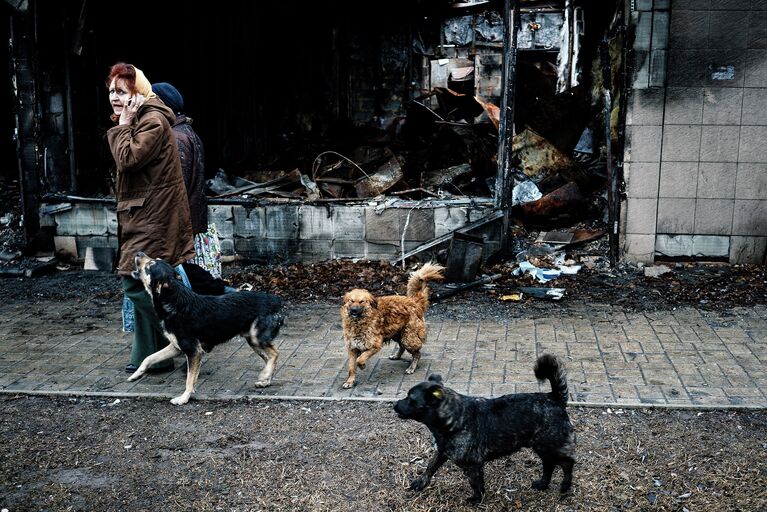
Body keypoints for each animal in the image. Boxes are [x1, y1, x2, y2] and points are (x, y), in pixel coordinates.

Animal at [129, 251, 284, 404]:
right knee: (269, 358)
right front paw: (136, 374)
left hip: (256, 338)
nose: (138, 252)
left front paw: (184, 398)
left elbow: (189, 380)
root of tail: (276, 300)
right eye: (155, 259)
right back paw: (265, 380)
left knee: (275, 354)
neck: (173, 302)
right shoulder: (176, 347)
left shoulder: (193, 351)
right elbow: (149, 358)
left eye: (150, 265)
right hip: (253, 341)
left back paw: (265, 375)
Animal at [340, 260, 444, 388]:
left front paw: (362, 365)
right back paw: (396, 356)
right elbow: (351, 367)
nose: (353, 310)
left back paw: (411, 368)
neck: (358, 323)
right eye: (351, 301)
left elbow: (360, 359)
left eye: (362, 302)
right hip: (397, 333)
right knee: (402, 347)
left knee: (417, 353)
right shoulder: (352, 348)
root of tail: (414, 302)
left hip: (408, 337)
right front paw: (350, 381)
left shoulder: (375, 345)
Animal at [396, 354, 576, 502]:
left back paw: (565, 486)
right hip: (542, 448)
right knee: (549, 465)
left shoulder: (473, 465)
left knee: (567, 464)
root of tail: (554, 398)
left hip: (551, 446)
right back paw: (543, 484)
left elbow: (476, 484)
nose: (394, 405)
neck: (455, 417)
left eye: (411, 399)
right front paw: (421, 483)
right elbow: (430, 467)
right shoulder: (441, 452)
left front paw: (477, 499)